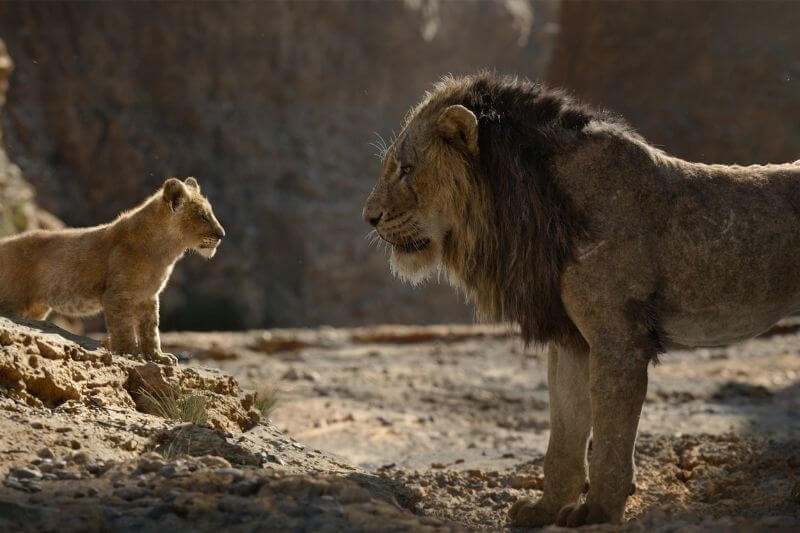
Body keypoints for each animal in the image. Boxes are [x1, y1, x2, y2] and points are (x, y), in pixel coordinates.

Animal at [0, 177, 225, 364]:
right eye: (203, 216)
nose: (222, 234)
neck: (166, 251)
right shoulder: (117, 295)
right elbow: (124, 327)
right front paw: (130, 353)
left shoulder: (148, 297)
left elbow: (151, 330)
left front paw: (158, 357)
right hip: (13, 301)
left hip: (36, 309)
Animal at [362, 72, 800, 526]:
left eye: (406, 169)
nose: (369, 217)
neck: (530, 206)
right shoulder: (572, 339)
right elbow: (564, 432)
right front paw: (545, 508)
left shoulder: (619, 341)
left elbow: (609, 438)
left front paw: (599, 511)